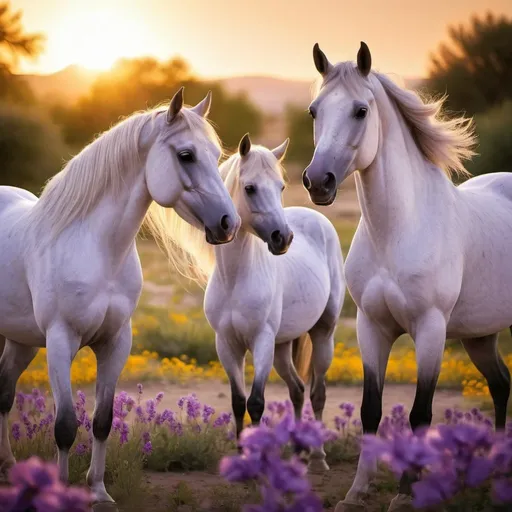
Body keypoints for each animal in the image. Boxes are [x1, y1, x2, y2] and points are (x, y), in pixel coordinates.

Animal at [0, 88, 240, 508]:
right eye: (186, 155)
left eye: (215, 154)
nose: (228, 223)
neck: (98, 249)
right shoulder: (60, 341)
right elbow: (65, 426)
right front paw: (61, 491)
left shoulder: (115, 342)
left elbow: (102, 420)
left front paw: (98, 492)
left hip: (21, 340)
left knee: (4, 393)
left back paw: (8, 466)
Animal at [196, 133, 344, 472]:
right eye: (250, 188)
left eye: (280, 187)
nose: (283, 239)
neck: (236, 278)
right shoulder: (227, 345)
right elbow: (238, 402)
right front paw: (241, 456)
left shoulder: (261, 341)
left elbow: (256, 402)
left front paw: (257, 461)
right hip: (282, 347)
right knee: (298, 390)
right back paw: (299, 452)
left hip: (323, 334)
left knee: (317, 393)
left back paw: (318, 457)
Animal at [304, 42, 512, 510]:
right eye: (314, 111)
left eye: (361, 110)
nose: (318, 181)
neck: (397, 231)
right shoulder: (371, 328)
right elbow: (371, 410)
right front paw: (357, 491)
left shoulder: (430, 330)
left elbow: (420, 412)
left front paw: (405, 492)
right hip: (481, 335)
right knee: (501, 385)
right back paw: (494, 471)